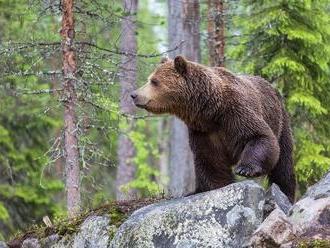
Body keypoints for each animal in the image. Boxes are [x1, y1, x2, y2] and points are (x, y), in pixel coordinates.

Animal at [130, 56, 296, 203]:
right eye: (150, 79)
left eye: (154, 81)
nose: (134, 95)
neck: (211, 110)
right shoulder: (203, 131)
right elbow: (210, 160)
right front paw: (214, 186)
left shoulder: (235, 112)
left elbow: (258, 135)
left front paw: (244, 169)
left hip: (281, 122)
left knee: (283, 165)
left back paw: (285, 193)